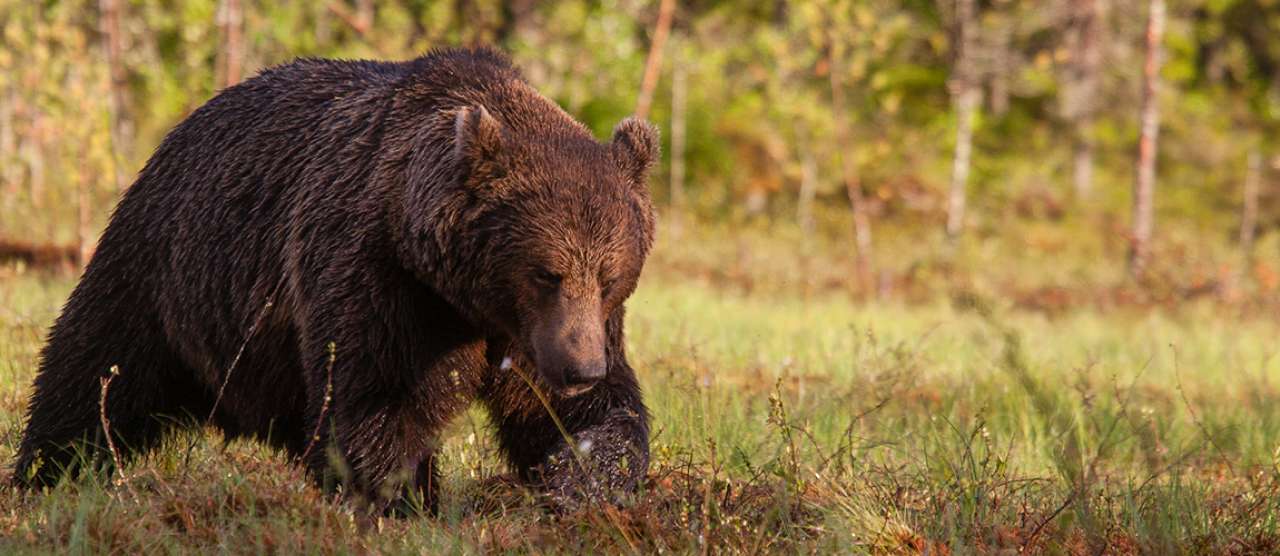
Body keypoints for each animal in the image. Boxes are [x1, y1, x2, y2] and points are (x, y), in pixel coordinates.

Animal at [12, 47, 660, 512]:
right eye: (547, 272)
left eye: (610, 276)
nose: (580, 368)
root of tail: (177, 132)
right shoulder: (377, 273)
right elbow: (378, 398)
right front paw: (402, 501)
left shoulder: (530, 334)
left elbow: (579, 414)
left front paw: (580, 484)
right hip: (160, 272)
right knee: (92, 376)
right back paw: (43, 478)